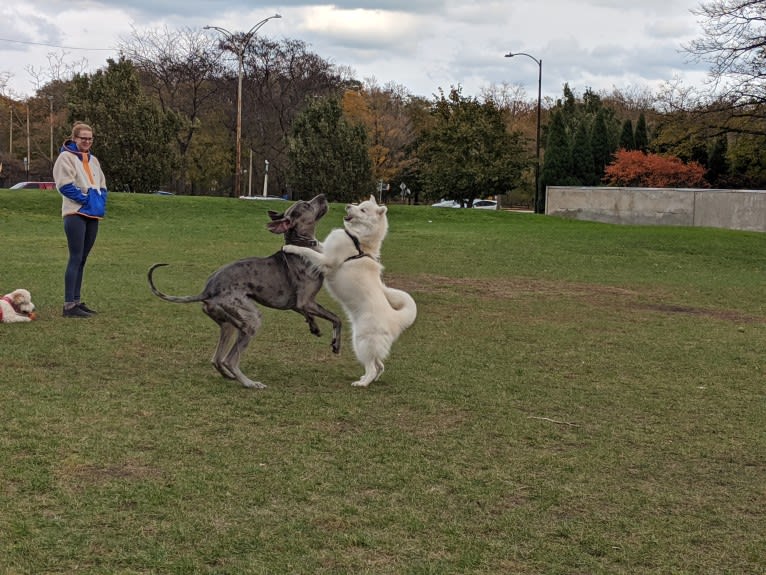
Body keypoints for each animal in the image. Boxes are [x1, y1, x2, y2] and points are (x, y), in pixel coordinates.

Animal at [148, 196, 340, 390]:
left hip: (229, 324)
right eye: (307, 205)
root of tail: (206, 291)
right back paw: (250, 383)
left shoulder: (297, 305)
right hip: (251, 319)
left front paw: (314, 327)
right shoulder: (306, 301)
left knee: (216, 359)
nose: (323, 196)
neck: (300, 246)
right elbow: (336, 318)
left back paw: (229, 376)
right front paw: (336, 344)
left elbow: (309, 315)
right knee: (230, 360)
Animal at [284, 196, 416, 390]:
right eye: (359, 204)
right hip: (361, 344)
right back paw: (367, 379)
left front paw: (291, 247)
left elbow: (307, 251)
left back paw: (362, 383)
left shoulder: (327, 260)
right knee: (380, 365)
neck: (358, 240)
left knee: (372, 367)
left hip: (362, 342)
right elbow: (317, 246)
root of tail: (395, 319)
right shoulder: (326, 250)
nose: (347, 205)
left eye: (362, 210)